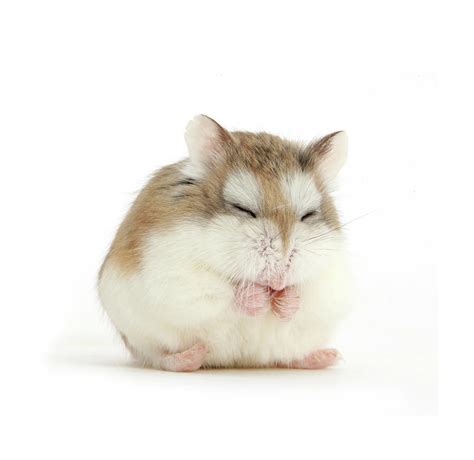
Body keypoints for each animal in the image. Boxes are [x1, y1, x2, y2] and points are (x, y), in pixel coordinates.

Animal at [98, 115, 352, 370]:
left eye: (308, 215)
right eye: (244, 209)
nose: (279, 279)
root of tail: (243, 361)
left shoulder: (330, 283)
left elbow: (305, 297)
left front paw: (285, 300)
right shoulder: (175, 275)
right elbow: (226, 293)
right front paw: (257, 297)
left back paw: (327, 357)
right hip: (139, 334)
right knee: (158, 356)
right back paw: (191, 357)